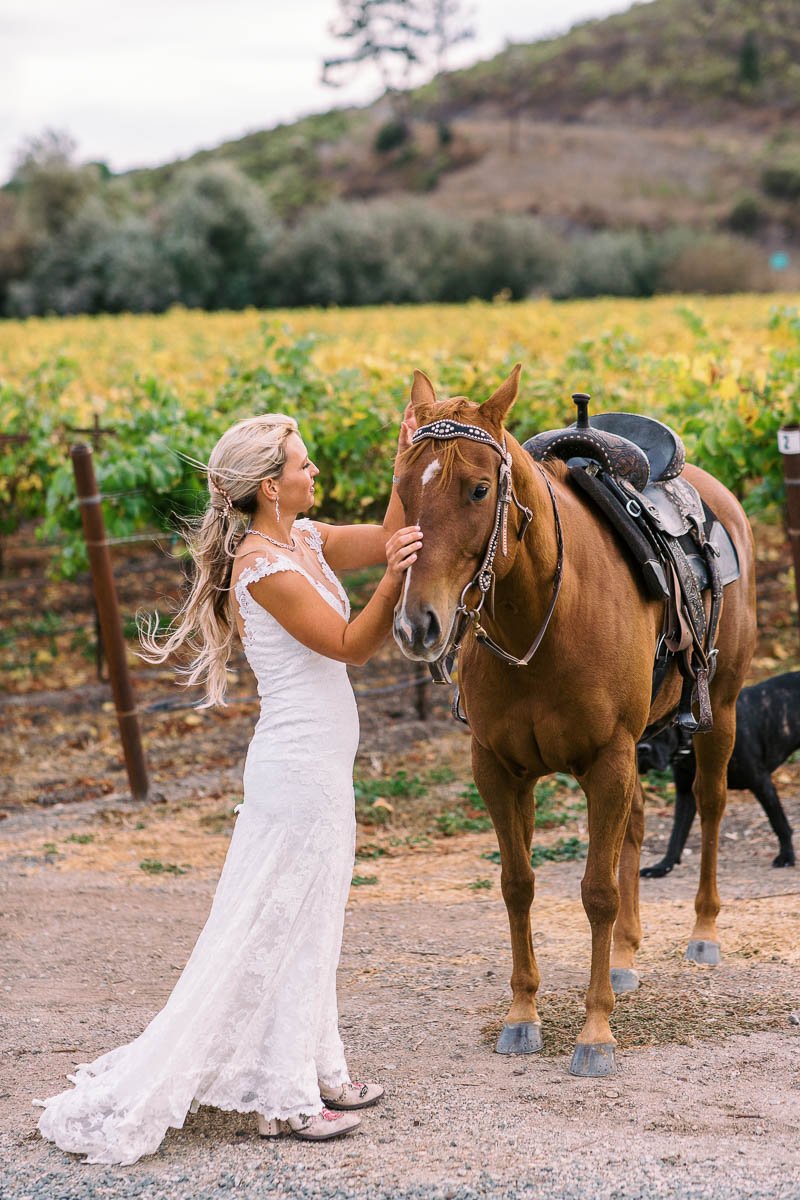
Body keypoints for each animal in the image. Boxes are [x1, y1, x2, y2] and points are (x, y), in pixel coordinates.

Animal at [393, 364, 758, 1080]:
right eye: (401, 486)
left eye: (480, 488)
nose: (418, 624)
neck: (544, 615)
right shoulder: (500, 769)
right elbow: (518, 885)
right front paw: (523, 1016)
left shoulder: (607, 760)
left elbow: (596, 892)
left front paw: (595, 1033)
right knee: (637, 825)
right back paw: (623, 958)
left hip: (719, 711)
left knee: (708, 803)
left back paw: (703, 933)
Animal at [638, 672, 800, 878]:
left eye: (660, 731)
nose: (642, 749)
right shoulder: (686, 794)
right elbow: (677, 834)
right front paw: (663, 866)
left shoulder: (761, 782)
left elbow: (778, 822)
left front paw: (787, 856)